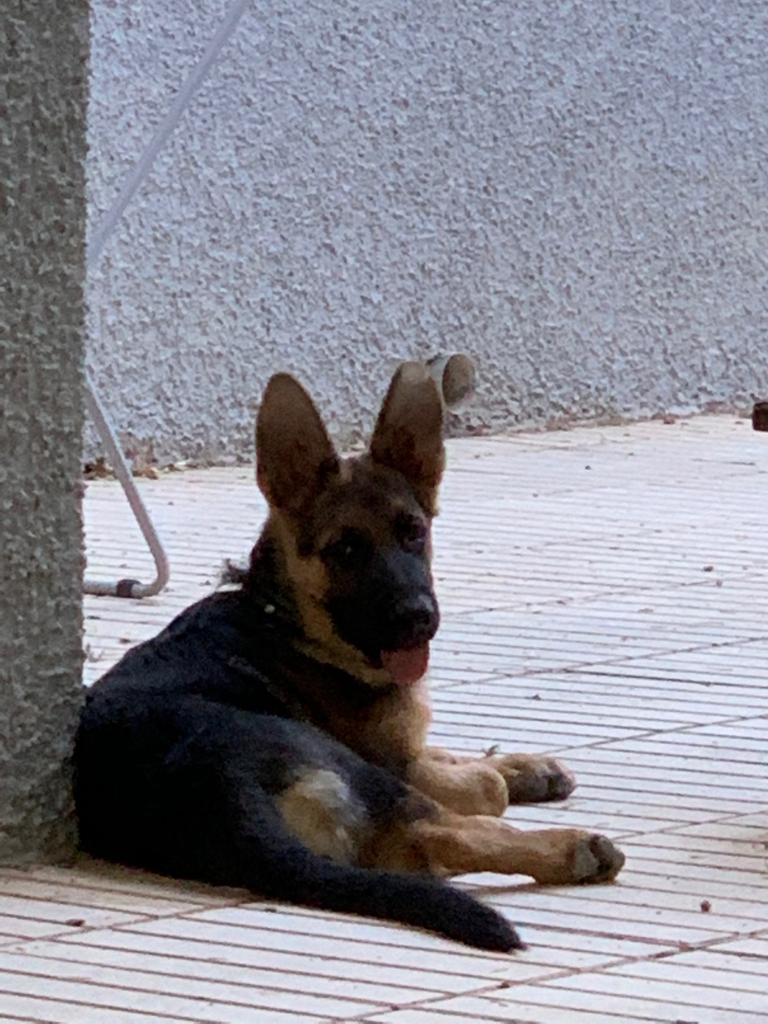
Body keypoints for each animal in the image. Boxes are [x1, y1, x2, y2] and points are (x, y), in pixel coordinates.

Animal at [74, 363, 624, 951]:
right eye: (345, 549)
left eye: (414, 533)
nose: (418, 618)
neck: (284, 617)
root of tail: (216, 793)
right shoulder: (387, 760)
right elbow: (481, 787)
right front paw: (501, 776)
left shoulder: (400, 744)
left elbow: (446, 750)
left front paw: (528, 767)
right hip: (349, 768)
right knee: (444, 831)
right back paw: (571, 849)